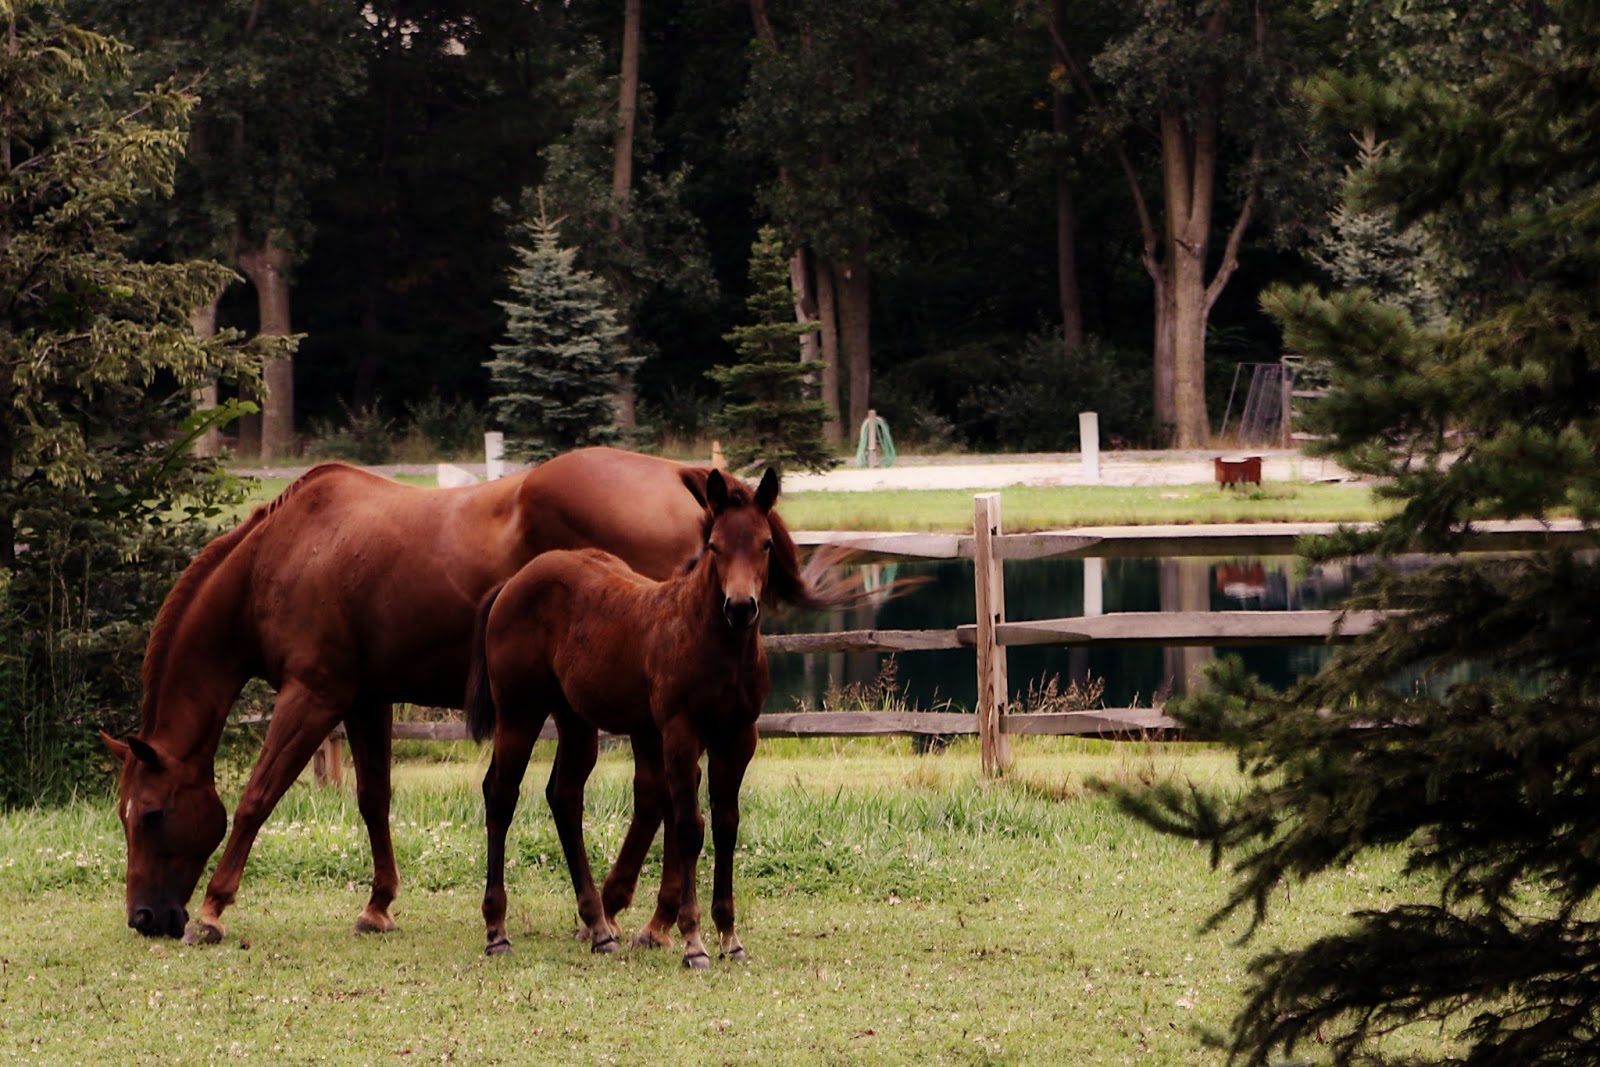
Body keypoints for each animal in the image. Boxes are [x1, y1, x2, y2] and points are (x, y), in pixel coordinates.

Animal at [99, 447, 724, 944]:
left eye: (151, 814)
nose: (143, 918)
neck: (285, 552)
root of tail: (678, 475)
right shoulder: (365, 701)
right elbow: (373, 798)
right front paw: (378, 906)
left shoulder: (312, 698)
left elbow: (258, 796)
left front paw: (214, 908)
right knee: (658, 796)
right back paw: (634, 912)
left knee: (659, 794)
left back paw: (644, 917)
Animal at [465, 467, 834, 969]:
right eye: (714, 545)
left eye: (765, 544)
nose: (740, 607)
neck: (716, 644)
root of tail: (513, 583)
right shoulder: (680, 733)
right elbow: (689, 827)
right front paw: (693, 941)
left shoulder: (737, 738)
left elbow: (726, 824)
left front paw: (729, 936)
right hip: (519, 712)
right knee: (501, 794)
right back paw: (497, 929)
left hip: (575, 718)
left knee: (564, 796)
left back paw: (599, 927)